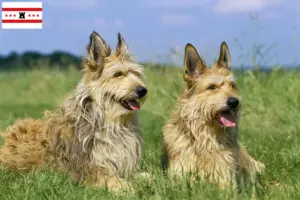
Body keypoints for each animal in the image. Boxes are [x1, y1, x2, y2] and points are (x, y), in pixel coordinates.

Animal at [0, 30, 148, 192]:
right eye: (118, 74)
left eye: (136, 74)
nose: (143, 90)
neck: (109, 121)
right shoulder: (93, 171)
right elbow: (120, 183)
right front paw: (133, 189)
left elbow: (147, 175)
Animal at [162, 41, 264, 189]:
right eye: (212, 87)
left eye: (232, 85)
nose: (234, 102)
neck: (205, 139)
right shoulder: (179, 176)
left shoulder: (225, 178)